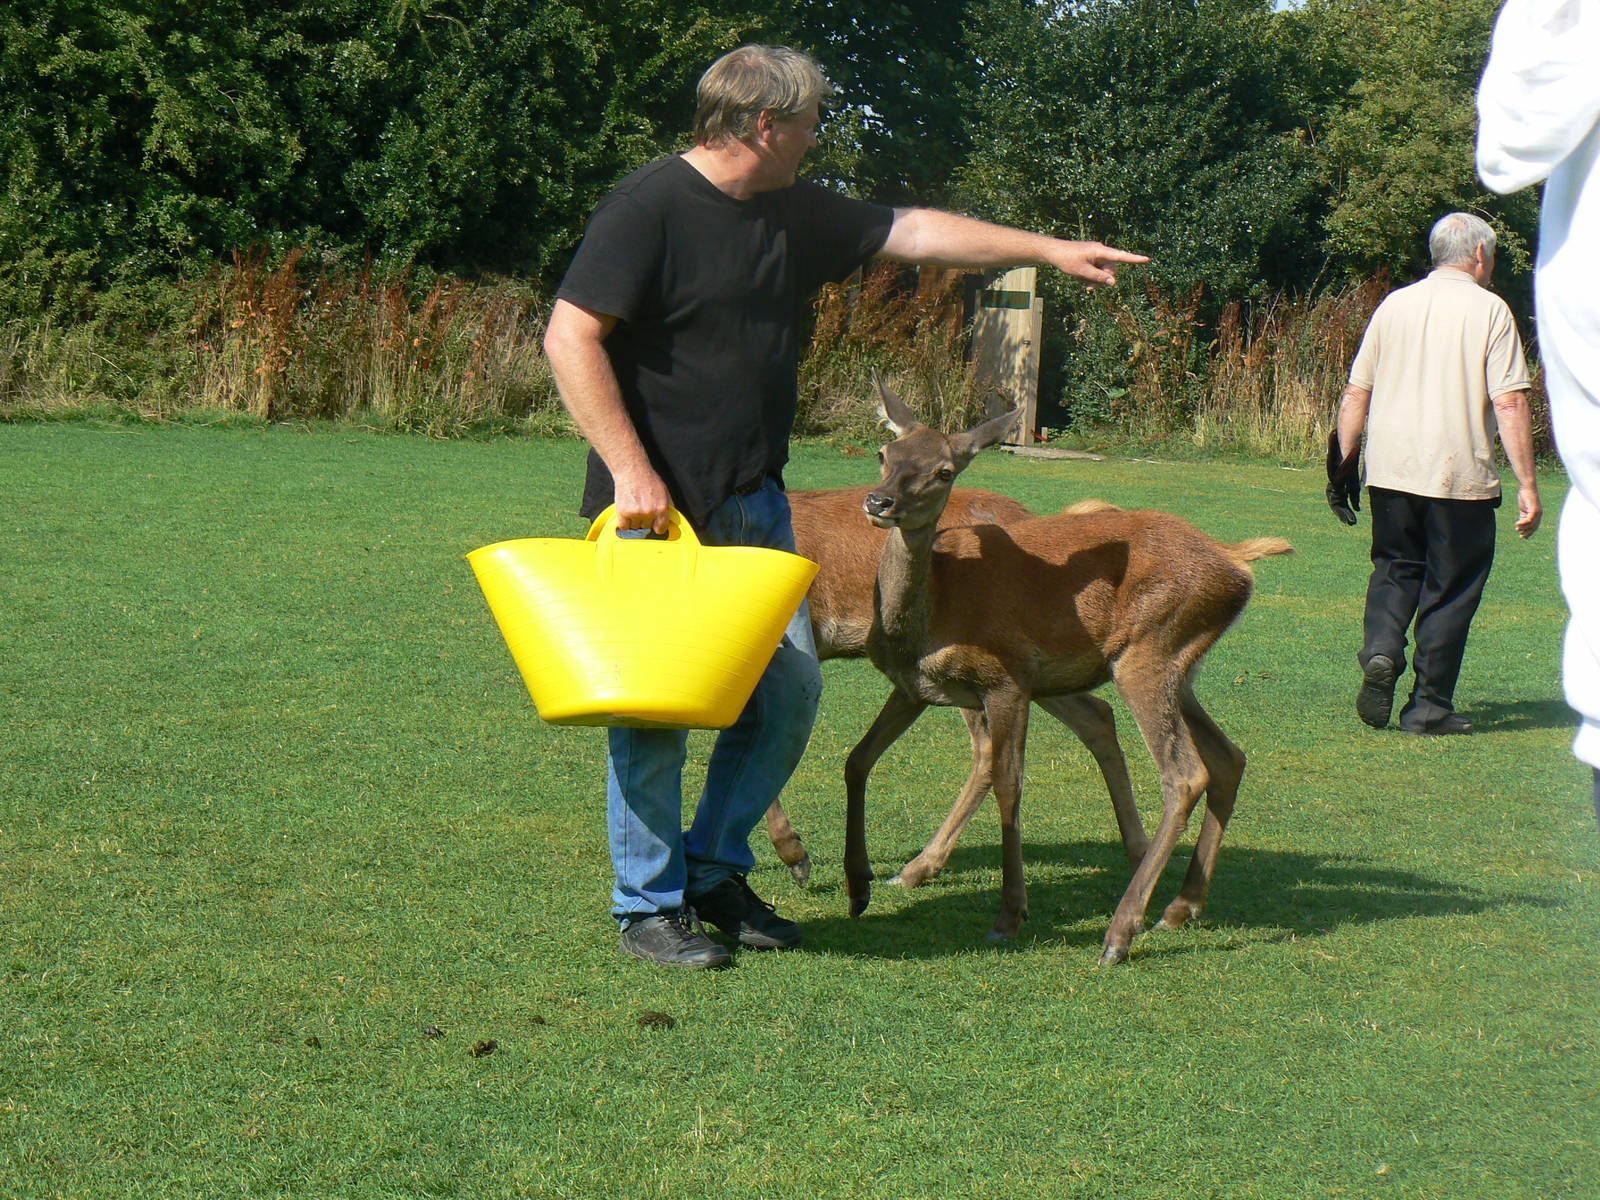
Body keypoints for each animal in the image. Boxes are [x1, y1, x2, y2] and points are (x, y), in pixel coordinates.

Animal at [846, 377, 1292, 964]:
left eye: (944, 470)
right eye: (885, 453)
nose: (880, 502)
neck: (931, 612)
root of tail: (1237, 562)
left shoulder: (1008, 677)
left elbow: (1008, 784)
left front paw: (1011, 914)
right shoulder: (913, 688)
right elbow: (857, 760)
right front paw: (859, 885)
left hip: (1149, 653)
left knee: (1185, 774)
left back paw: (1121, 934)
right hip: (1180, 667)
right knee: (1229, 756)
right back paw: (1181, 906)